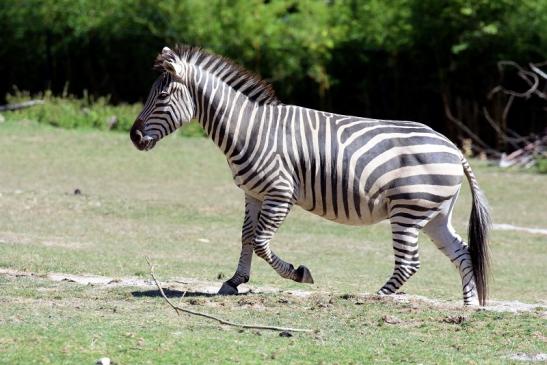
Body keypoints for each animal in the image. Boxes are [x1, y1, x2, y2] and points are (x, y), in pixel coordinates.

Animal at [130, 47, 492, 306]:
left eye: (162, 97)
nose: (133, 137)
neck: (249, 131)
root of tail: (454, 149)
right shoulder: (253, 194)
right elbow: (246, 237)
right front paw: (234, 281)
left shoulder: (280, 193)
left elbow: (261, 242)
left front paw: (299, 273)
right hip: (434, 214)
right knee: (462, 252)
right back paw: (469, 307)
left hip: (409, 209)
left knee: (409, 263)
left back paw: (375, 296)